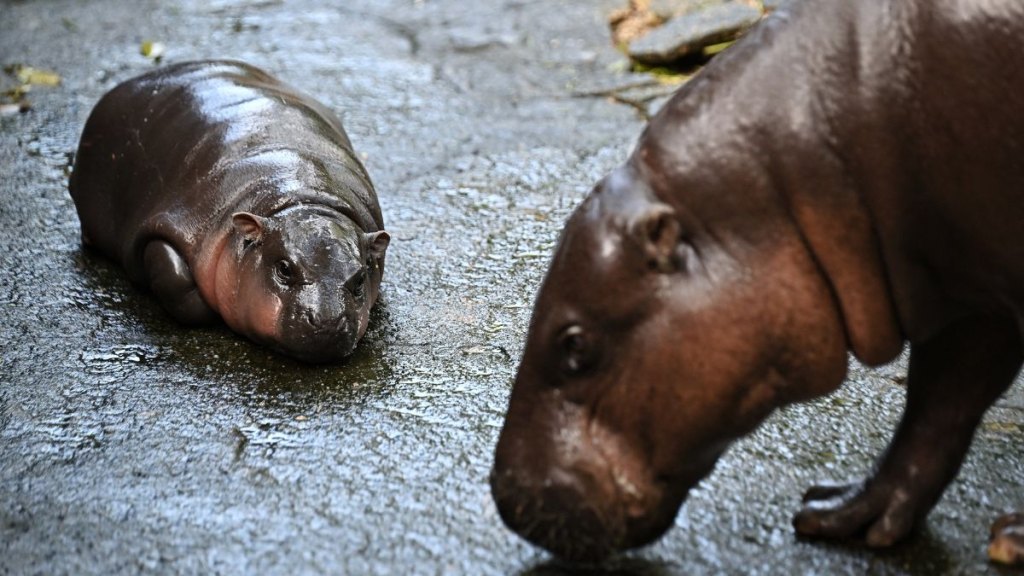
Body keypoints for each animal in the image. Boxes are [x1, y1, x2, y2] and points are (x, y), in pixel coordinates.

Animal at [69, 60, 389, 363]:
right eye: (284, 269)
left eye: (360, 278)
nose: (327, 321)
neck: (305, 200)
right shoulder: (178, 224)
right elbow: (174, 278)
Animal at [491, 0, 1024, 565]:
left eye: (575, 346)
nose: (507, 502)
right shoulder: (967, 293)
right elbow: (940, 401)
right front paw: (842, 511)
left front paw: (1011, 539)